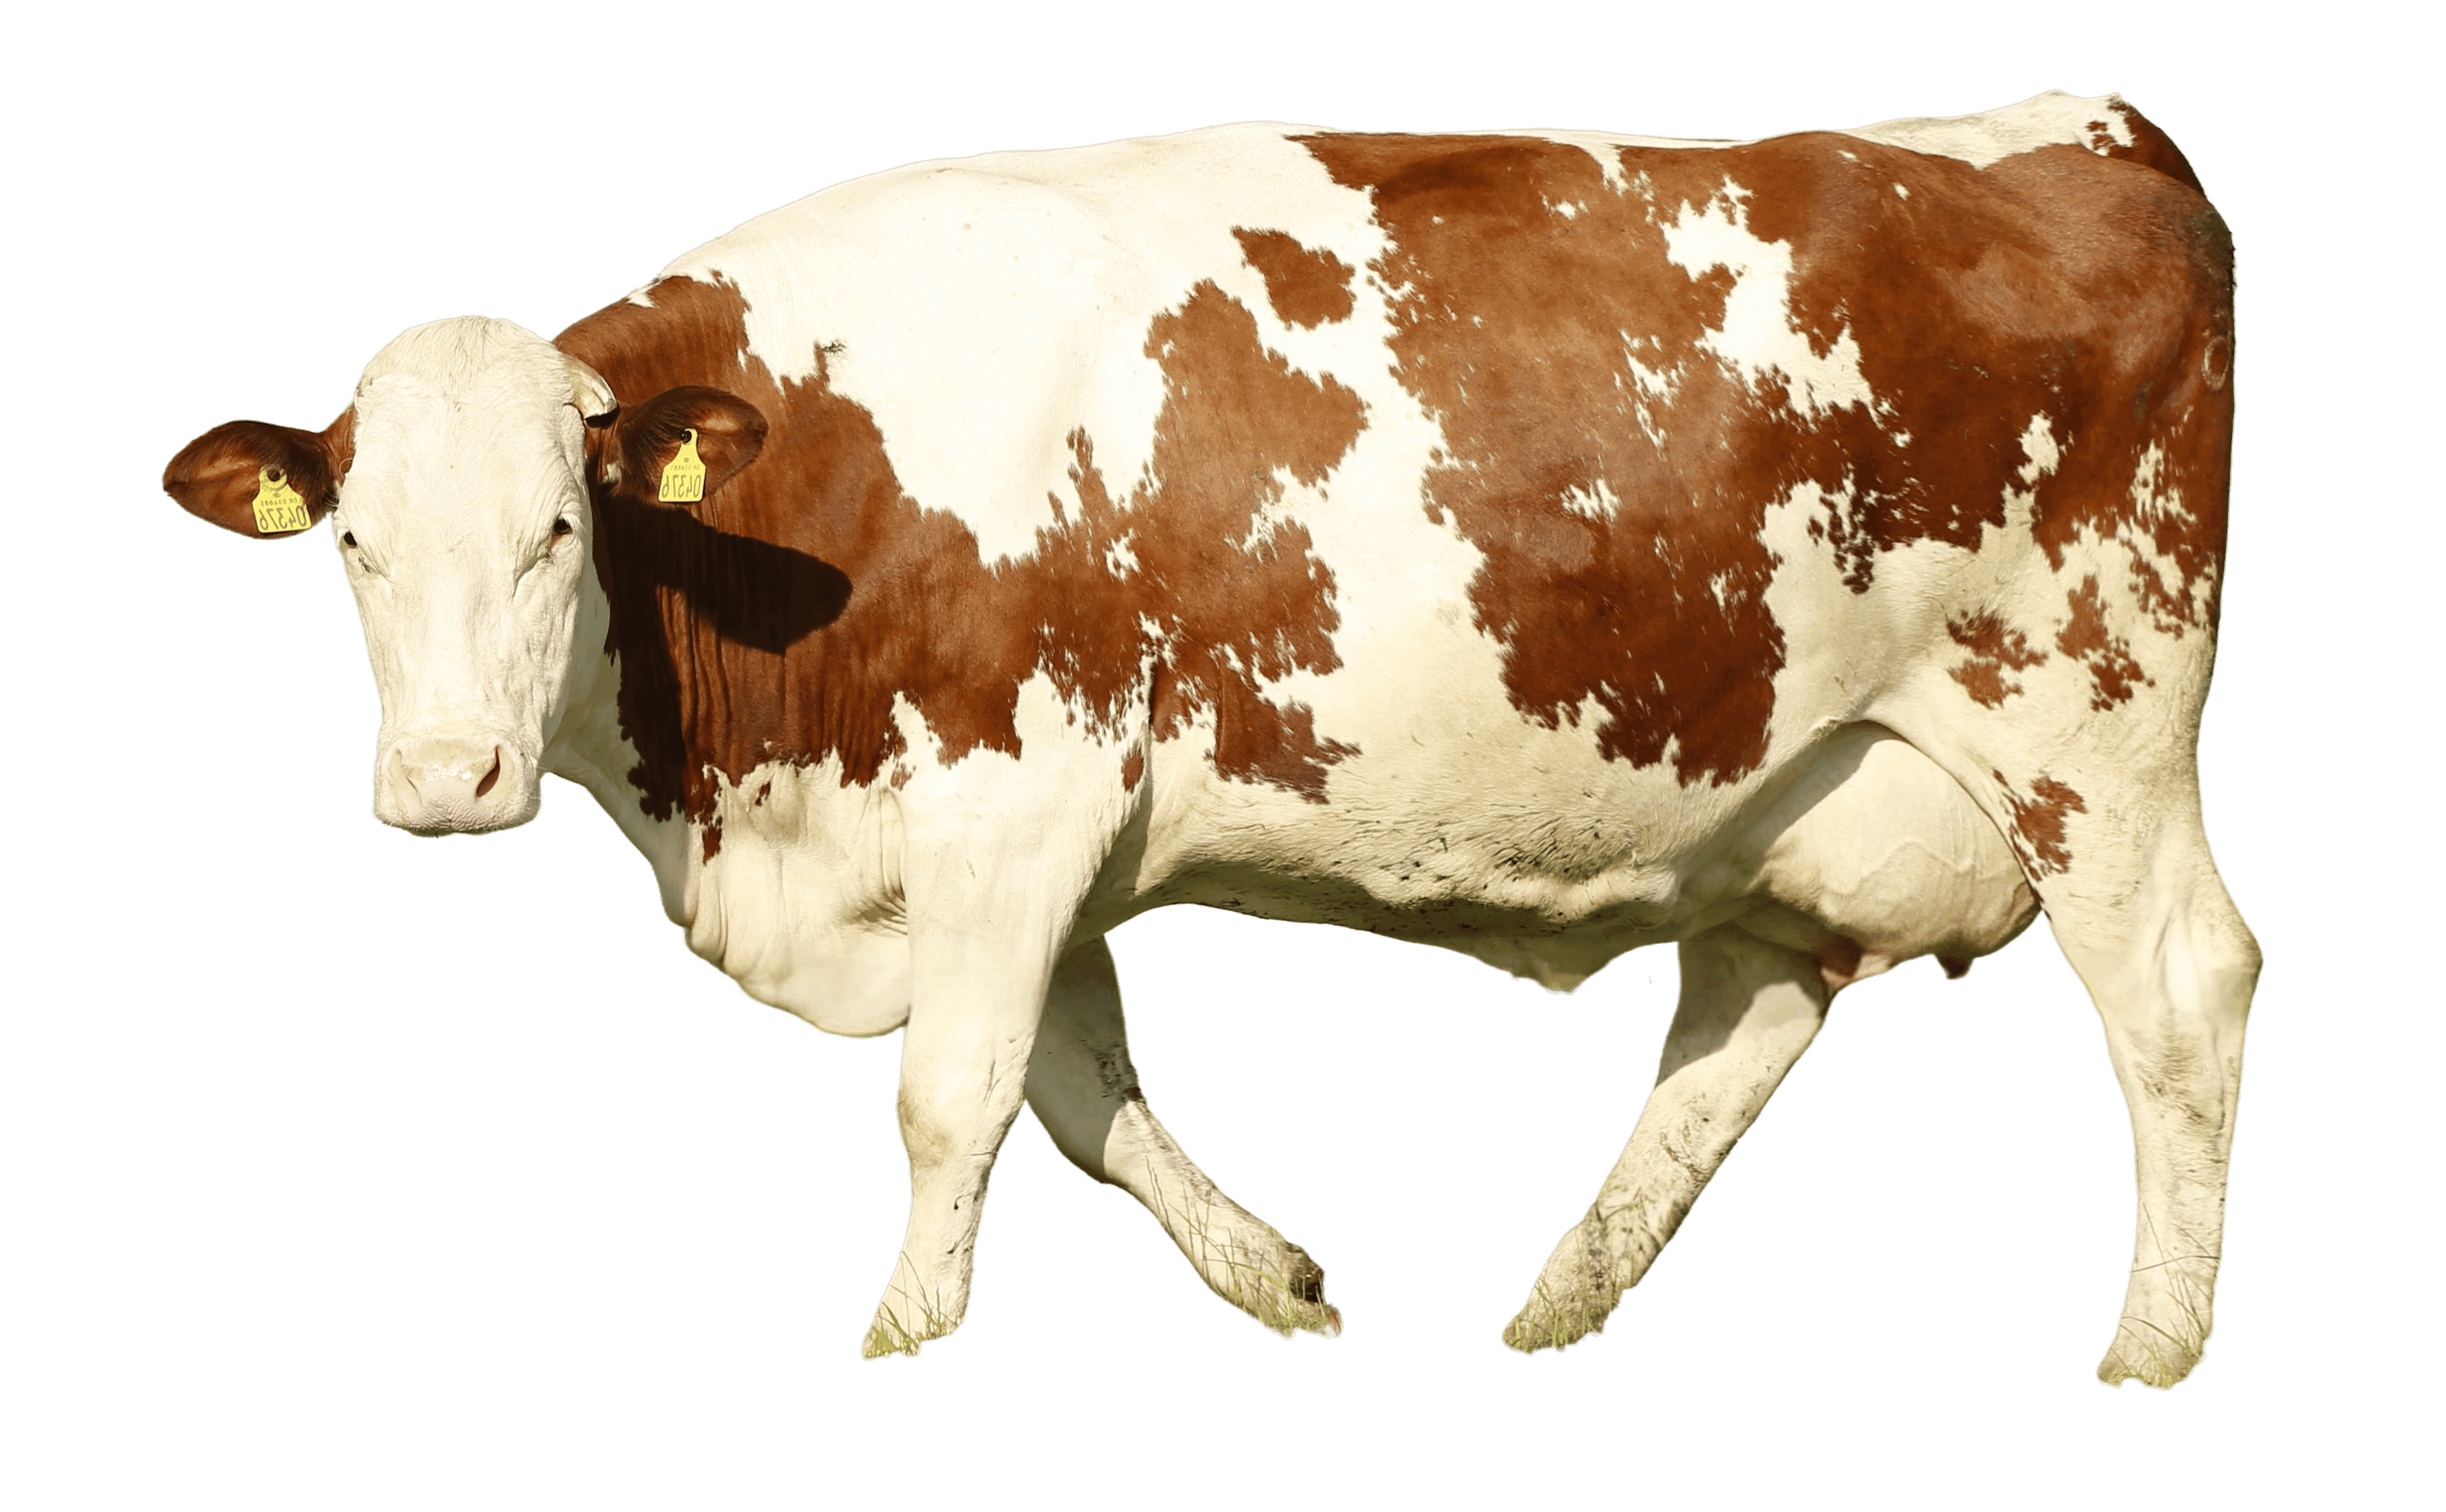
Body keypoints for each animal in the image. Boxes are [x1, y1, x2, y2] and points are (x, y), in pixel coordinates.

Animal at [163, 88, 2256, 1388]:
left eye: (557, 529)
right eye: (350, 543)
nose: (447, 780)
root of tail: (2075, 128)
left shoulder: (1013, 797)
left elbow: (948, 1099)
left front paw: (901, 1346)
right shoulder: (1041, 856)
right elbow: (1076, 1101)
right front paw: (1277, 1281)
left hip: (2086, 714)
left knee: (2176, 990)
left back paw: (2149, 1350)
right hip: (1791, 787)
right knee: (1736, 1024)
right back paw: (1556, 1310)